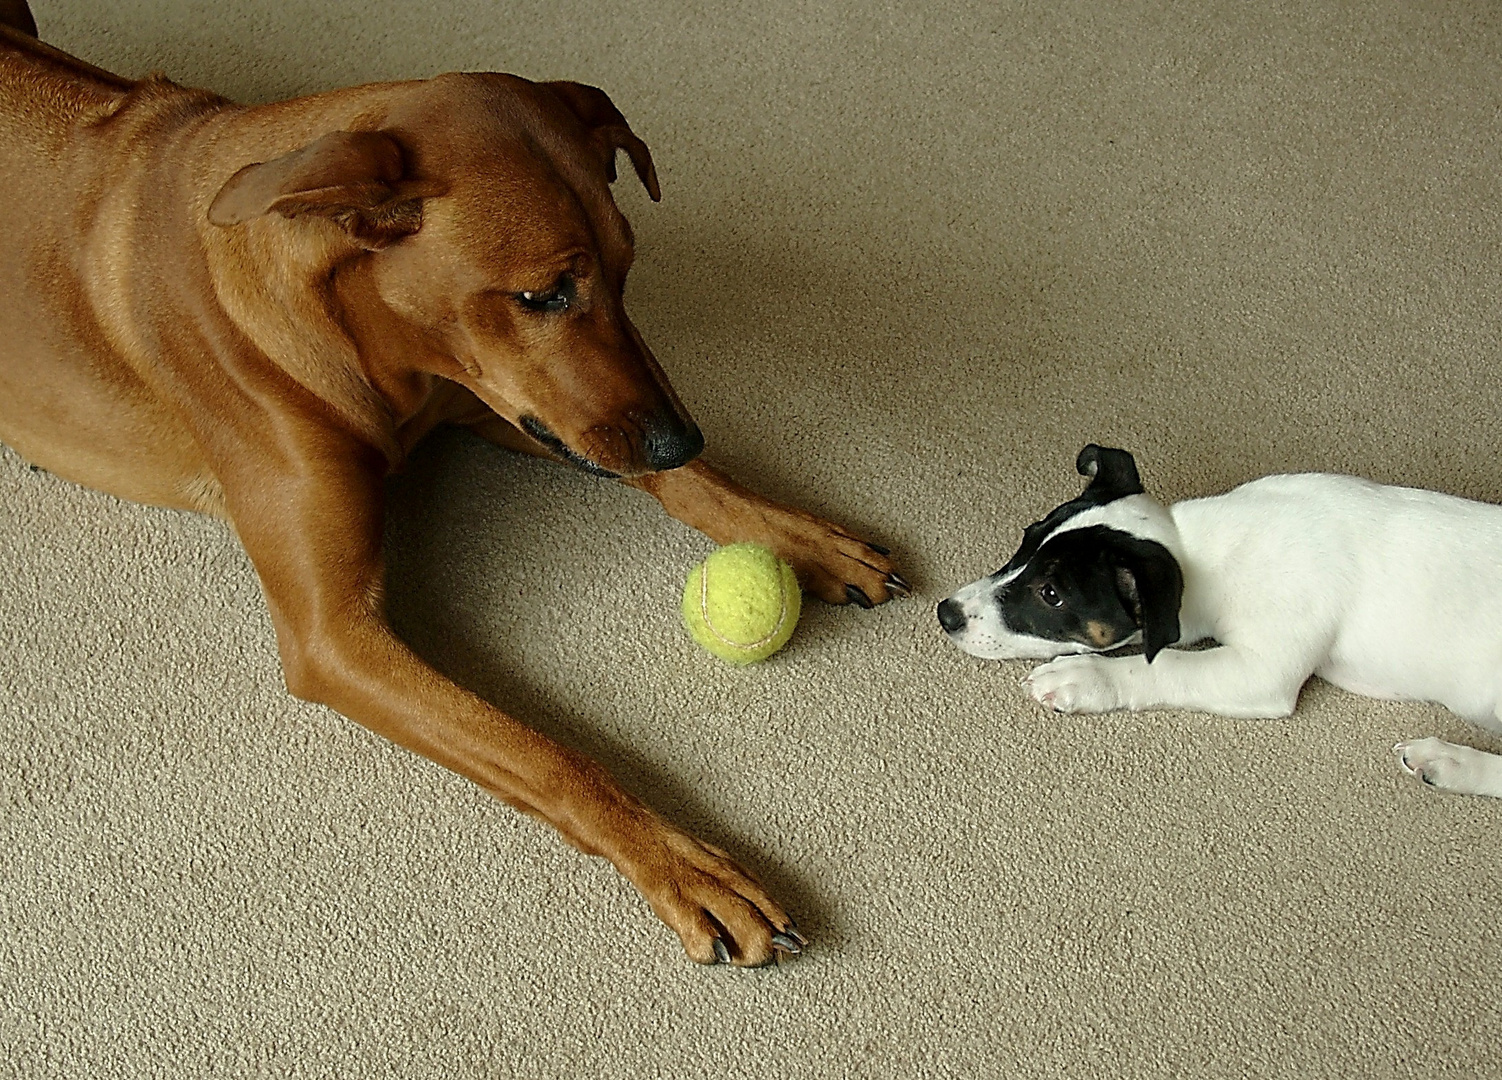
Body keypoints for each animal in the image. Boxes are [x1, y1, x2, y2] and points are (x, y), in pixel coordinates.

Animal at [0, 4, 901, 967]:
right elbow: (546, 754)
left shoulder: (497, 406)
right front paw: (681, 861)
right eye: (542, 294)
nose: (677, 433)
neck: (373, 339)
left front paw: (797, 533)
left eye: (626, 272)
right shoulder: (335, 638)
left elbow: (694, 484)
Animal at [937, 444, 1502, 799]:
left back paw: (1454, 763)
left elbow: (1162, 664)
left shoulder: (1263, 671)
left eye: (1051, 594)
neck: (1200, 550)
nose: (947, 613)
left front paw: (1083, 678)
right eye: (1027, 537)